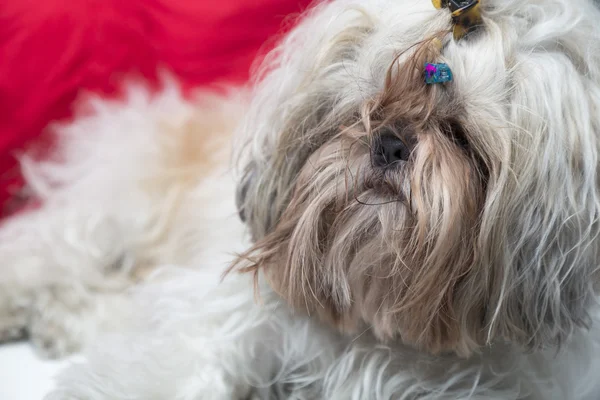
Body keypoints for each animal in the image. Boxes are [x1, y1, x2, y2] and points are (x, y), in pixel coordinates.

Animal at [1, 0, 600, 396]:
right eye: (368, 109)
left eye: (458, 134)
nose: (391, 142)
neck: (376, 321)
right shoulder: (213, 325)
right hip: (116, 208)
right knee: (43, 254)